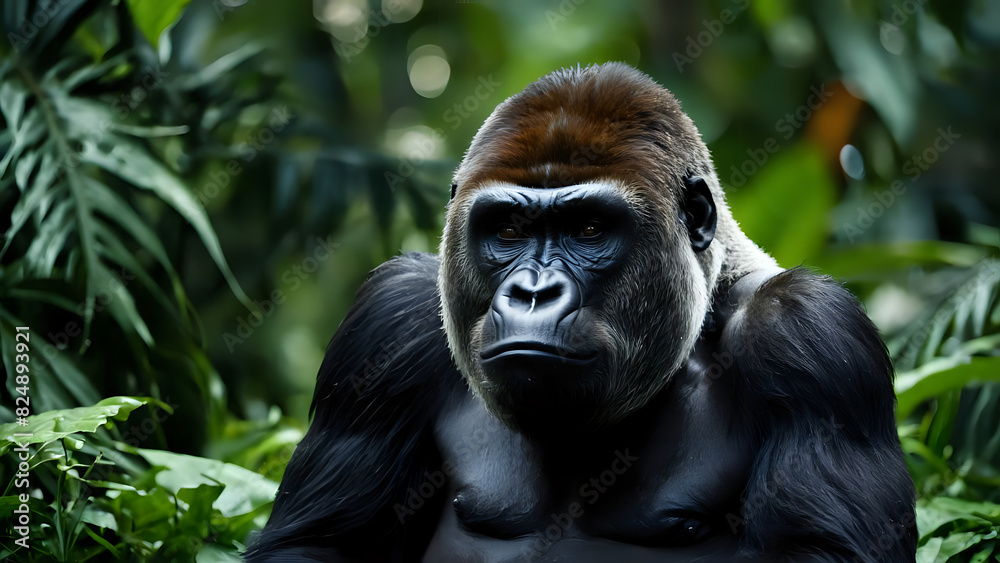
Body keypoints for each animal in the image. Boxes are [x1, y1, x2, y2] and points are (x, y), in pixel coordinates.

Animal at [245, 62, 917, 562]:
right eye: (508, 229)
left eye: (590, 228)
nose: (533, 293)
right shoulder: (390, 321)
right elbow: (316, 546)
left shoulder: (810, 331)